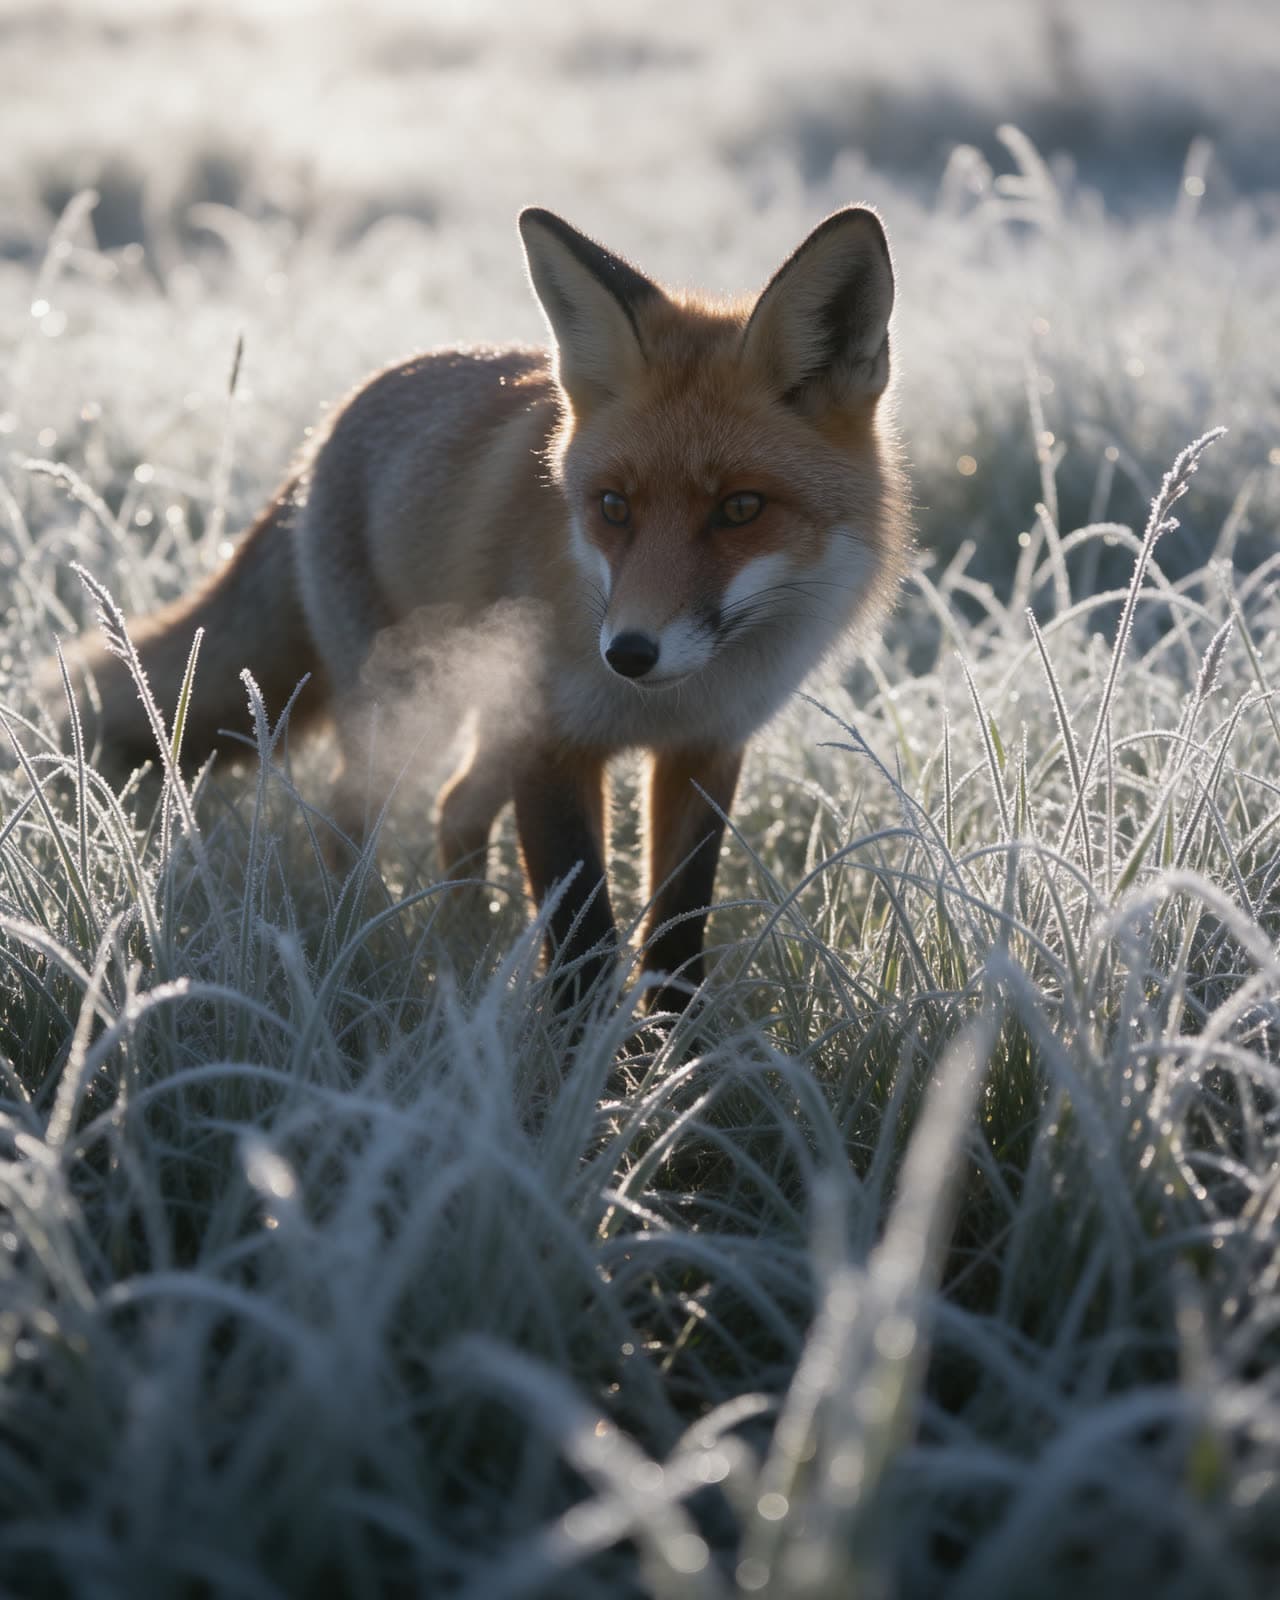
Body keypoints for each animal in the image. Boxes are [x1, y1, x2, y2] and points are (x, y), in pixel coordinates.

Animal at [52, 207, 909, 1011]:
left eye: (740, 509)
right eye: (613, 507)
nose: (629, 653)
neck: (659, 705)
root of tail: (331, 421)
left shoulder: (705, 752)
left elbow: (675, 937)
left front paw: (679, 1059)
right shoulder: (552, 744)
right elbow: (583, 942)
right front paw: (588, 1067)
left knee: (454, 808)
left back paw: (463, 944)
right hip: (408, 709)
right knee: (349, 815)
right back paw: (352, 939)